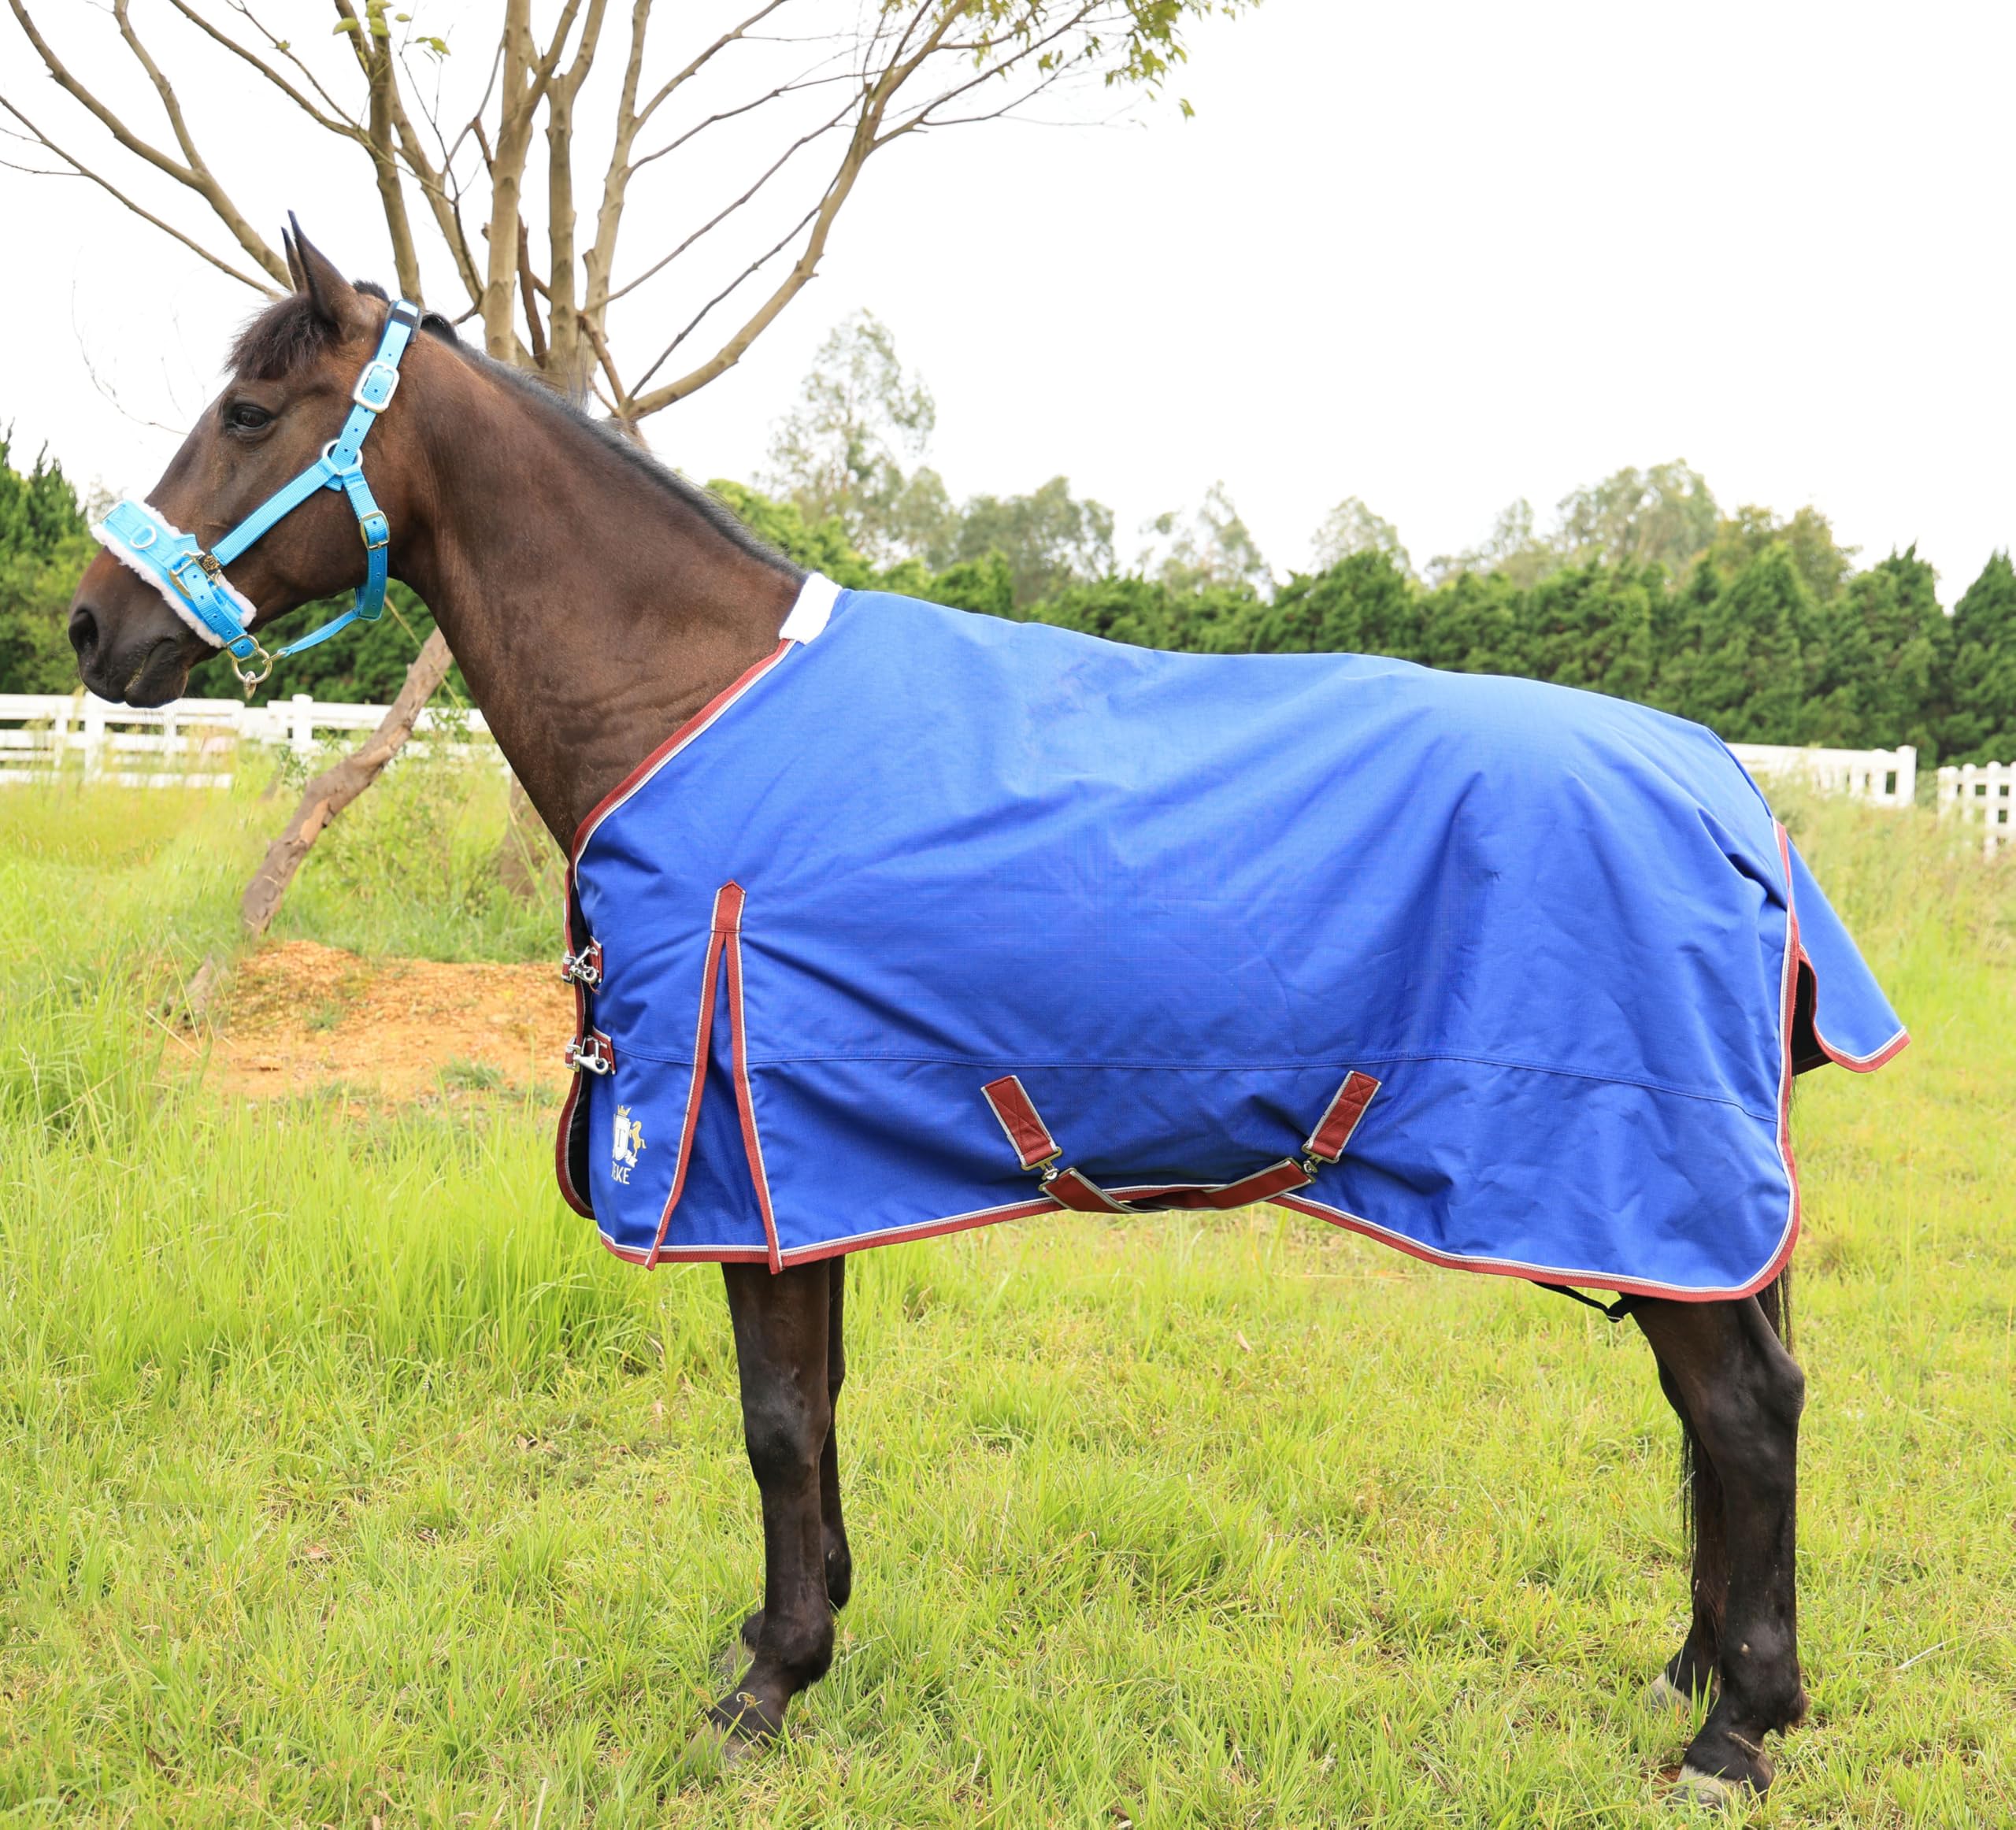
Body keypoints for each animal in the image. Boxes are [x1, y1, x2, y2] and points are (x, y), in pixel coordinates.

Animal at [69, 223, 1834, 1810]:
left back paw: (1734, 1730)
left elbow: (777, 1421)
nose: (94, 627)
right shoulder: (810, 1165)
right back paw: (1691, 1672)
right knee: (1713, 1412)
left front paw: (765, 1689)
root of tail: (1719, 783)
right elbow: (823, 1409)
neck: (691, 698)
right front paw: (794, 1631)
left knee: (1745, 1413)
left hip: (1637, 1178)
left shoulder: (740, 1163)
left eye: (248, 414)